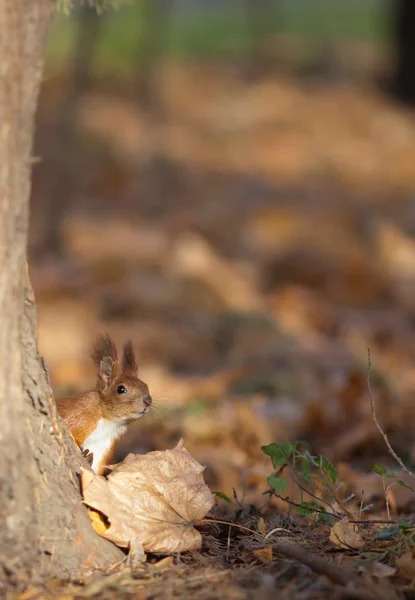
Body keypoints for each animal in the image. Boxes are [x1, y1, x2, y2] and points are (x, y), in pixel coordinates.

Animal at [56, 336, 152, 476]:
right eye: (121, 389)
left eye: (145, 385)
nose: (148, 401)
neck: (108, 422)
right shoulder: (78, 415)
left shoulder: (105, 446)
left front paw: (89, 458)